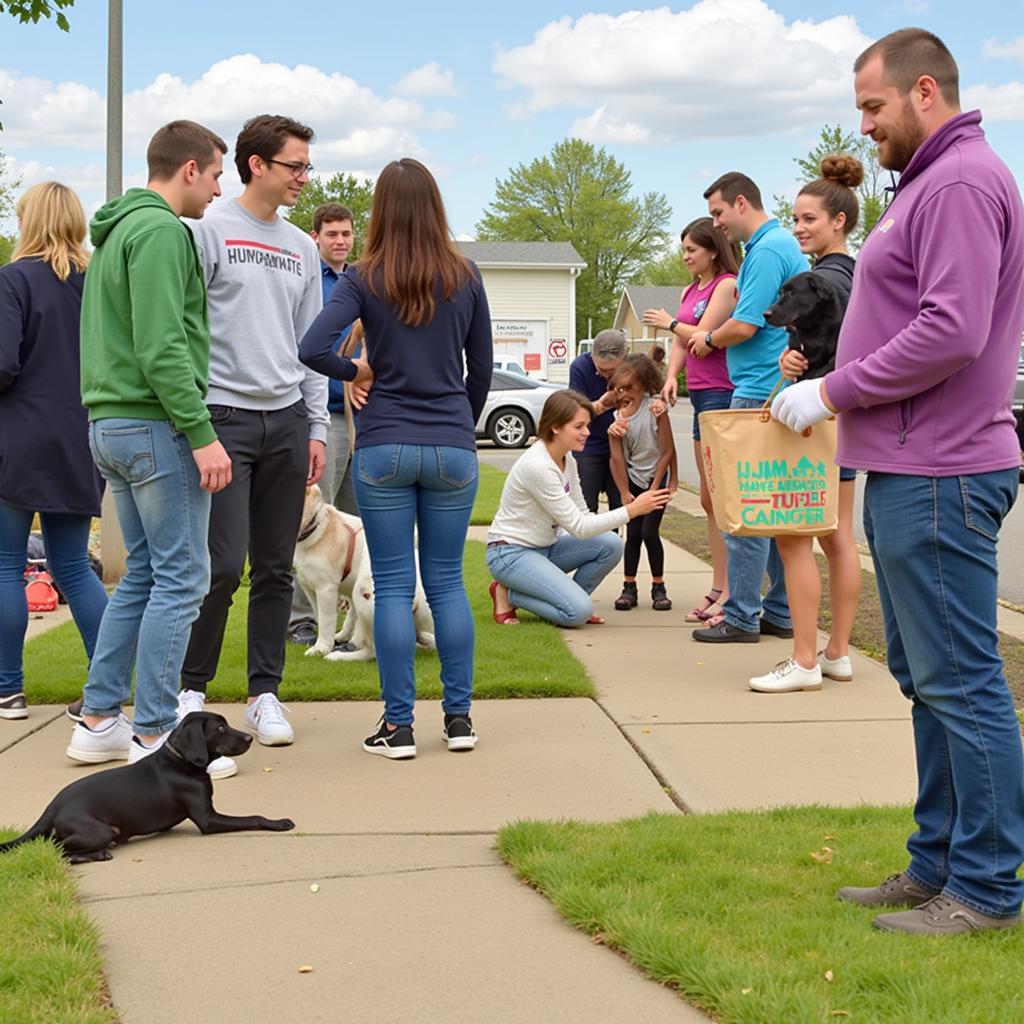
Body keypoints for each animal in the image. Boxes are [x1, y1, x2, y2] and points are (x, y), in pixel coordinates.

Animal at [1, 712, 296, 864]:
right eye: (220, 729)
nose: (248, 738)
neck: (180, 761)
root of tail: (52, 806)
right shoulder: (208, 819)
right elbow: (254, 817)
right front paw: (279, 822)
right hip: (101, 830)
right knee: (56, 848)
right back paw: (98, 853)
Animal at [292, 487, 436, 663]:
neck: (316, 531)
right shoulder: (309, 587)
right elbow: (321, 616)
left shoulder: (326, 589)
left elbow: (326, 620)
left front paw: (321, 648)